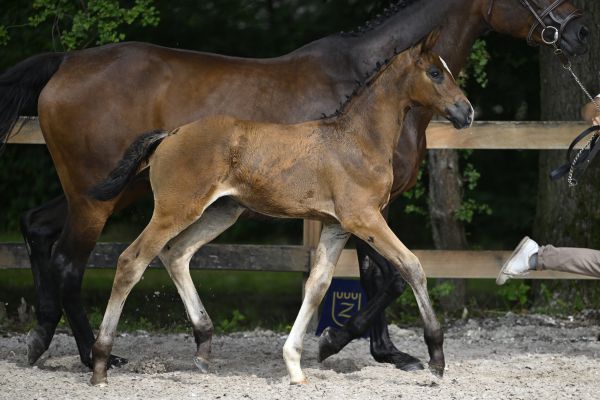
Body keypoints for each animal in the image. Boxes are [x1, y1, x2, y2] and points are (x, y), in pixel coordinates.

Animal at [89, 33, 474, 384]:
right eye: (434, 73)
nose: (467, 112)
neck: (359, 139)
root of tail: (169, 135)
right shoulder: (364, 218)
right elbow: (412, 266)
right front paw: (436, 360)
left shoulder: (337, 226)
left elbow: (317, 285)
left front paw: (295, 366)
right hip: (175, 209)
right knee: (132, 261)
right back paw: (100, 365)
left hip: (221, 211)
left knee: (176, 253)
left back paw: (203, 347)